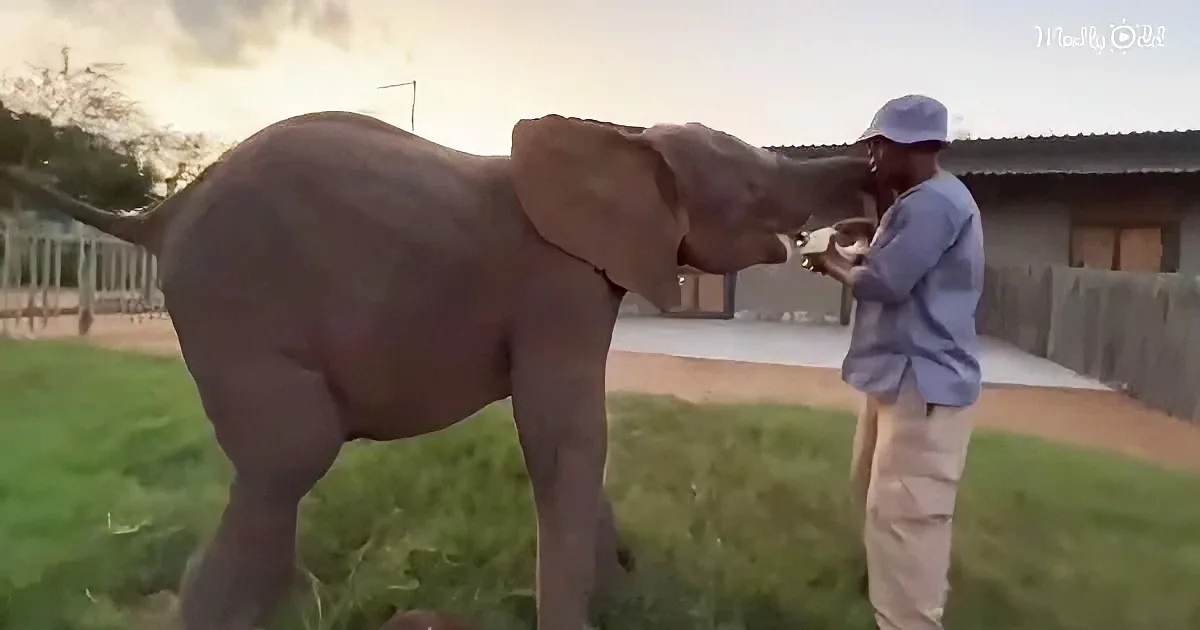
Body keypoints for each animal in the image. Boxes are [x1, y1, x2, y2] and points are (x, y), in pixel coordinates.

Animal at [0, 111, 882, 630]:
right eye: (754, 185)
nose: (878, 170)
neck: (624, 137)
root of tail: (161, 211)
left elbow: (575, 441)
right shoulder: (557, 284)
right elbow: (563, 437)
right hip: (236, 303)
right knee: (290, 459)